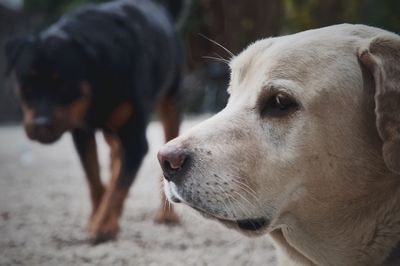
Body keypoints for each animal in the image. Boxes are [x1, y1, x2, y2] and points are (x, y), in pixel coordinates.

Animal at [5, 0, 183, 242]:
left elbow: (118, 187)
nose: (40, 124)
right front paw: (97, 218)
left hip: (170, 102)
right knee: (115, 157)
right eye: (26, 88)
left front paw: (104, 226)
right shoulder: (81, 133)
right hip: (112, 131)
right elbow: (95, 180)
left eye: (64, 86)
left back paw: (166, 215)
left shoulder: (135, 140)